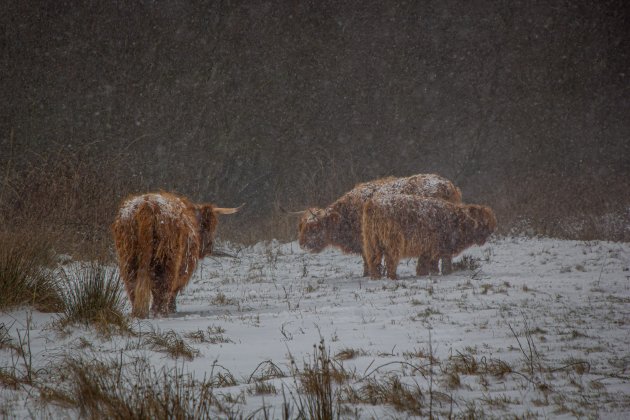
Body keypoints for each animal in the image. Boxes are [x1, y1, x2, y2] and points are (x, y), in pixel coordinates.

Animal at [112, 192, 241, 316]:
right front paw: (172, 308)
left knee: (132, 283)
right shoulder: (185, 268)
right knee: (163, 285)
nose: (209, 247)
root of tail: (147, 206)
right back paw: (161, 312)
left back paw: (138, 312)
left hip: (128, 256)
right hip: (167, 259)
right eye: (208, 227)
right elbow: (174, 288)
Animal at [298, 173, 462, 276]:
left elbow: (368, 260)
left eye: (314, 228)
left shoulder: (367, 241)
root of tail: (448, 185)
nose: (302, 244)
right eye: (301, 228)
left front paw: (367, 274)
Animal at [362, 195, 496, 280]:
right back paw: (392, 277)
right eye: (484, 223)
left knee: (373, 260)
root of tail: (372, 204)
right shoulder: (435, 246)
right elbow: (434, 264)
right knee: (391, 259)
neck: (456, 222)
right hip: (393, 241)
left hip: (371, 241)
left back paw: (376, 277)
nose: (491, 232)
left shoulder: (429, 248)